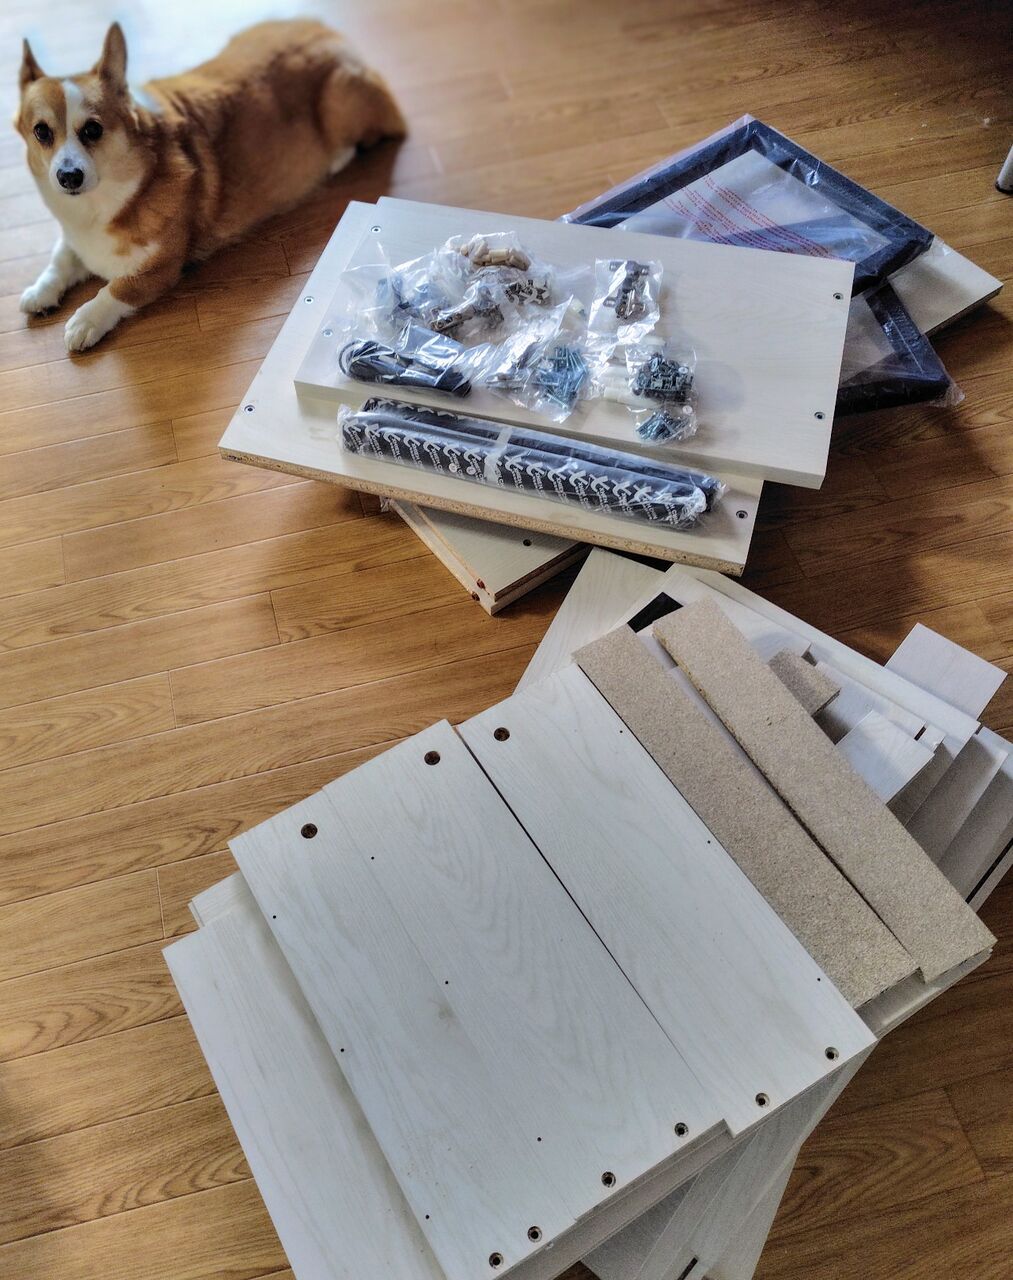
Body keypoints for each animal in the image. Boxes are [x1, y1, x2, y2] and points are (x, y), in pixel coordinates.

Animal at [16, 20, 405, 351]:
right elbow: (61, 259)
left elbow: (117, 288)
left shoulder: (160, 269)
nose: (68, 176)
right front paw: (39, 291)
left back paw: (335, 159)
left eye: (93, 130)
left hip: (339, 103)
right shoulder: (74, 240)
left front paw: (85, 320)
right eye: (42, 132)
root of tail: (332, 33)